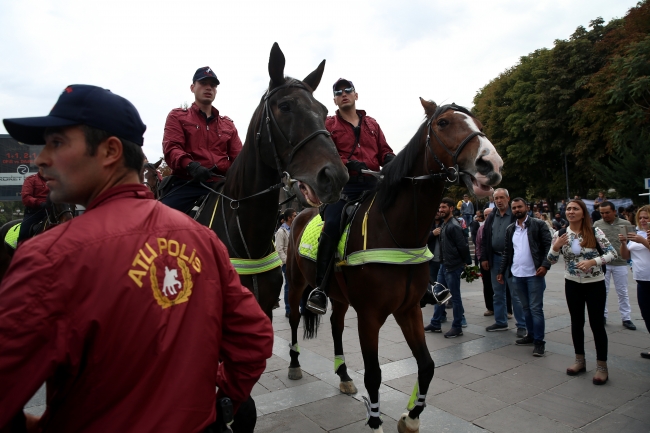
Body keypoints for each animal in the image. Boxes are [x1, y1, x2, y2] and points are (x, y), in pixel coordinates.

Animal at [284, 99, 502, 430]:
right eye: (443, 123)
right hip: (297, 281)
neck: (396, 230)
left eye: (478, 122)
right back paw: (295, 365)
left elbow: (427, 365)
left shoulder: (409, 309)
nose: (491, 164)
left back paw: (344, 375)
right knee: (295, 318)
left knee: (336, 325)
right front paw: (376, 422)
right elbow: (374, 375)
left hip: (338, 294)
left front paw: (411, 417)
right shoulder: (370, 316)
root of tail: (302, 213)